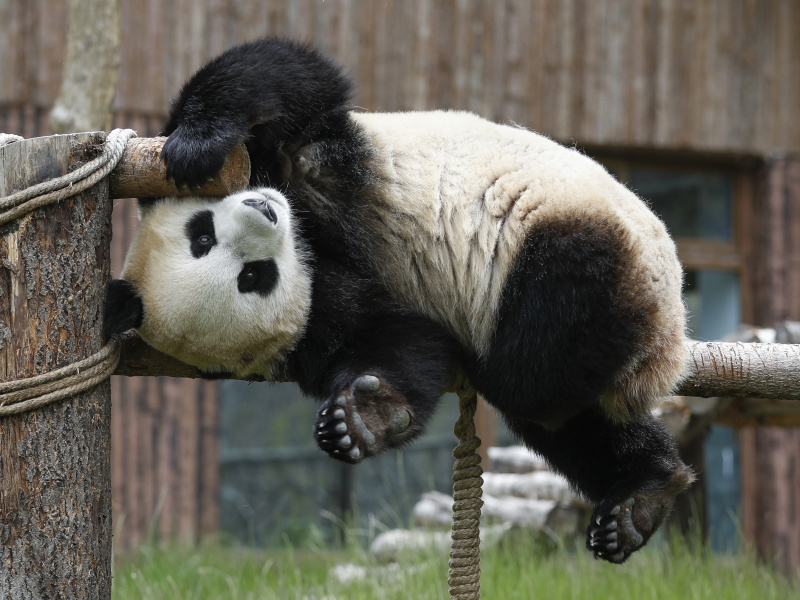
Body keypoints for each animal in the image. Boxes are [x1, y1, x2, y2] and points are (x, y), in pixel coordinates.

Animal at [107, 38, 694, 564]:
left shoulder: (313, 162)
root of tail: (664, 341)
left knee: (532, 370)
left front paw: (195, 147)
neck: (310, 244)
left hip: (575, 240)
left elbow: (285, 80)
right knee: (558, 410)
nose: (263, 213)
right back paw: (641, 497)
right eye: (252, 277)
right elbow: (401, 344)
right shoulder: (319, 316)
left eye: (201, 234)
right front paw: (363, 417)